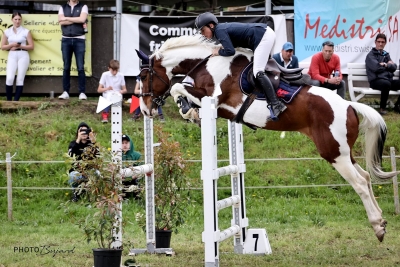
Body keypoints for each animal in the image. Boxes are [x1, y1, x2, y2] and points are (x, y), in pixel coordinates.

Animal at [136, 34, 398, 242]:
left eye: (144, 75)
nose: (147, 110)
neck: (207, 62)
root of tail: (350, 105)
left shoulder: (215, 98)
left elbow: (177, 87)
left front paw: (187, 110)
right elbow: (181, 90)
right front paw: (190, 112)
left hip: (334, 153)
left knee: (360, 183)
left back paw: (377, 227)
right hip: (343, 152)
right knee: (366, 177)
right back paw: (382, 221)